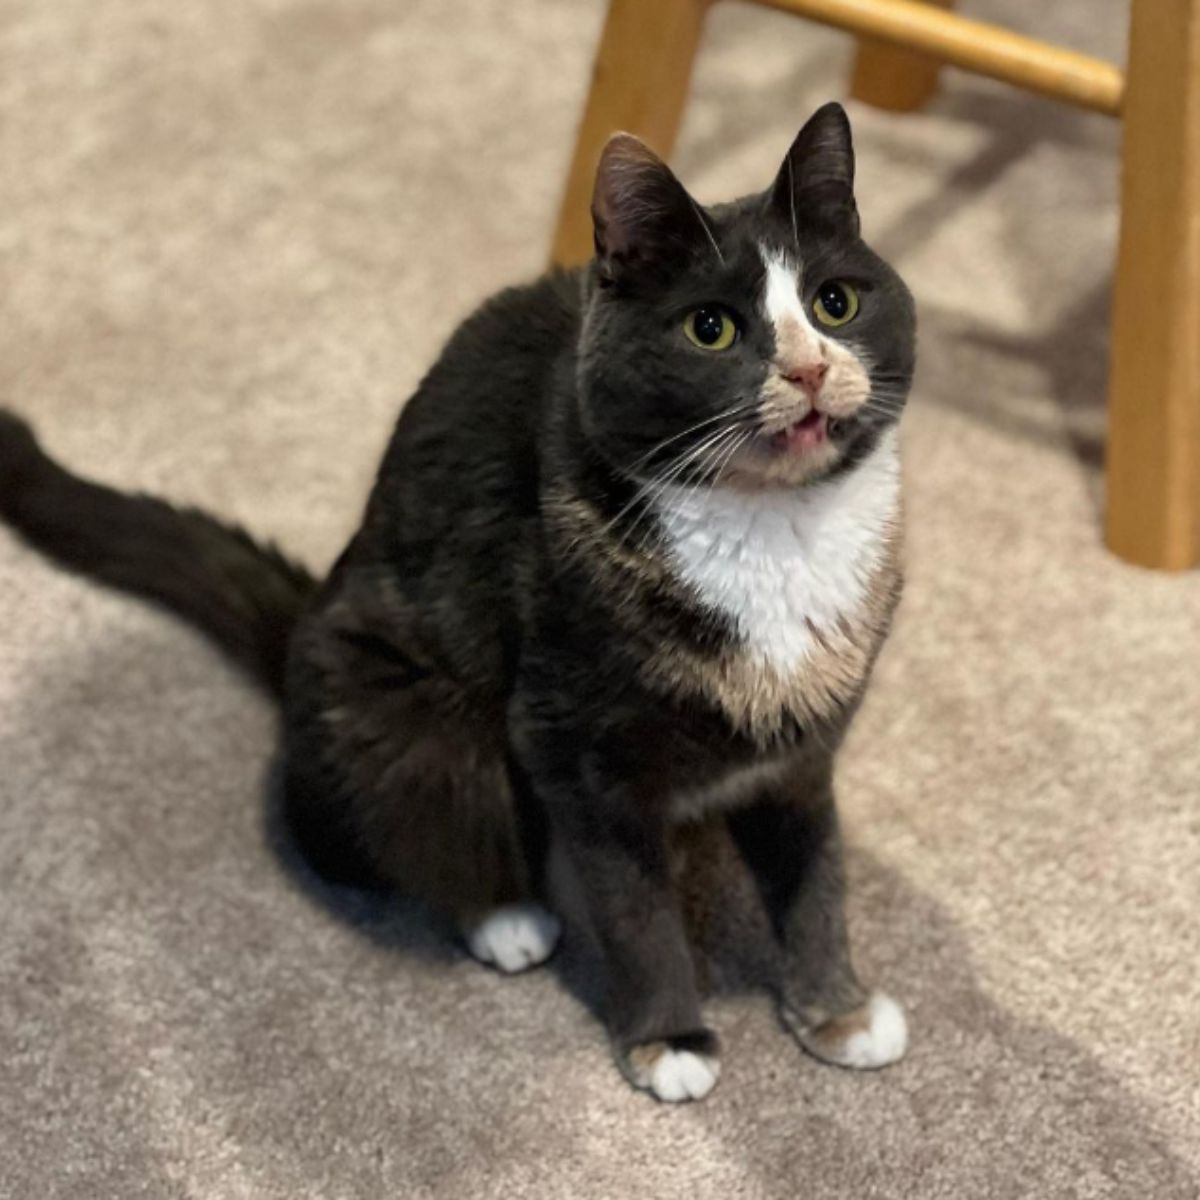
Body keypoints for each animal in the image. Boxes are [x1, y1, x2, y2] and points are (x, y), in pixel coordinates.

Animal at [0, 103, 912, 1104]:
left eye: (836, 303)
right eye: (711, 327)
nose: (811, 369)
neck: (777, 532)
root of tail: (305, 624)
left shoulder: (805, 745)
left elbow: (816, 875)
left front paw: (838, 1010)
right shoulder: (575, 746)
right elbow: (635, 909)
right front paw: (669, 1039)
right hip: (408, 704)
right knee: (415, 816)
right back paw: (507, 915)